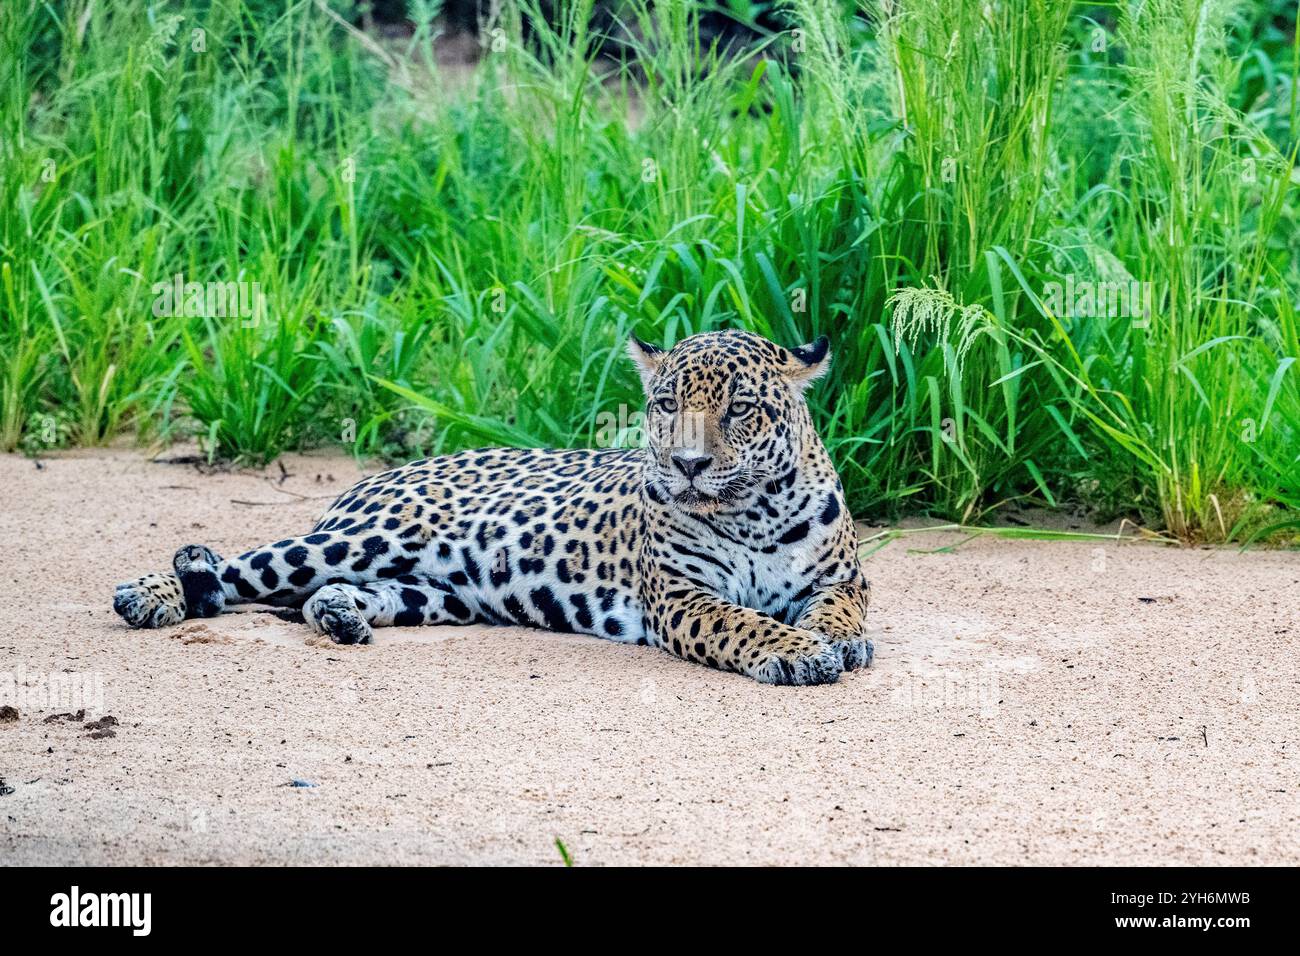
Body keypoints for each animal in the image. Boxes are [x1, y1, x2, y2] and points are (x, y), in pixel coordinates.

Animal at [113, 329, 873, 685]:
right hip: (364, 536)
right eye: (665, 405)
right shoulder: (681, 596)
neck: (753, 515)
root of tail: (369, 482)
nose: (688, 465)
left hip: (437, 592)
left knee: (318, 594)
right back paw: (148, 594)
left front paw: (837, 638)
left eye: (739, 409)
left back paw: (338, 615)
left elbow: (838, 609)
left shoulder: (845, 578)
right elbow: (740, 621)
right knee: (241, 564)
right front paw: (796, 649)